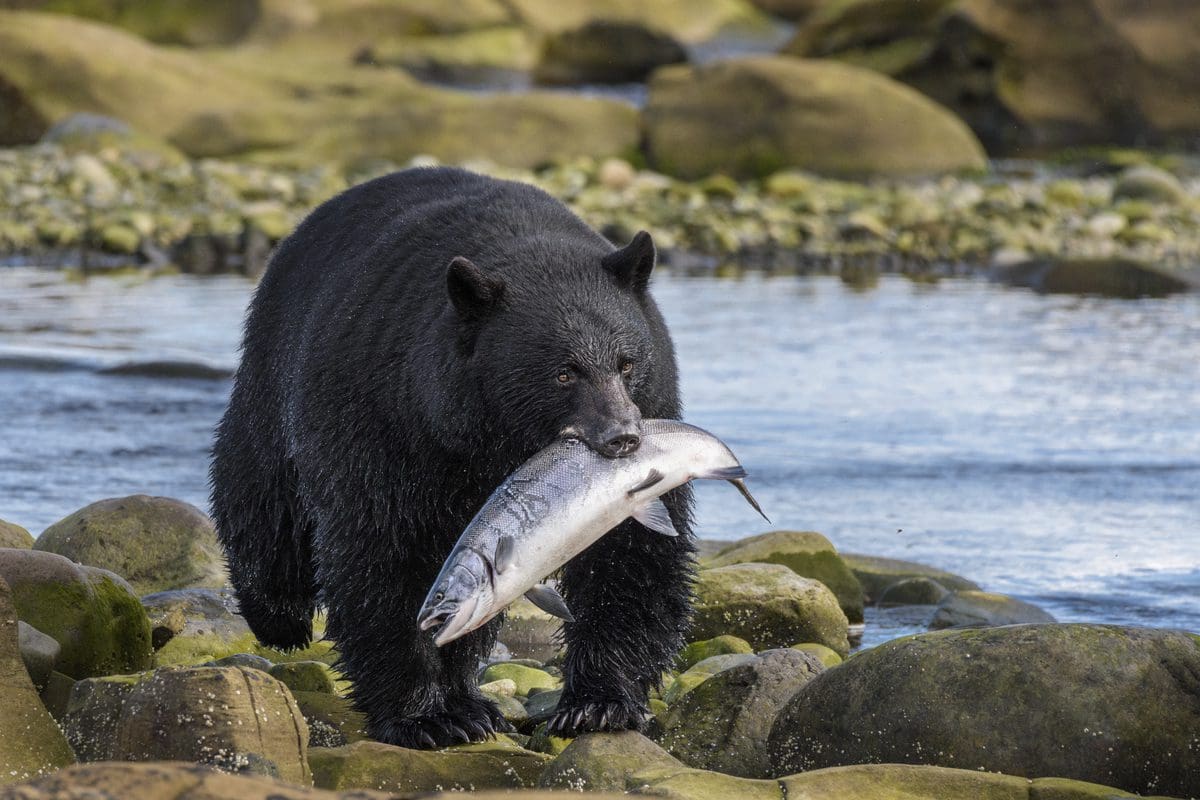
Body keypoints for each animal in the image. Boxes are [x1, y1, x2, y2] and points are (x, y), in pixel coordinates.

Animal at [209, 166, 695, 748]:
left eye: (626, 363)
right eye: (564, 372)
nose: (622, 438)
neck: (491, 441)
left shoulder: (647, 425)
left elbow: (630, 556)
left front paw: (599, 703)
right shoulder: (387, 422)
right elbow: (386, 554)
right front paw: (427, 716)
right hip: (277, 369)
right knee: (263, 498)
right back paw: (279, 618)